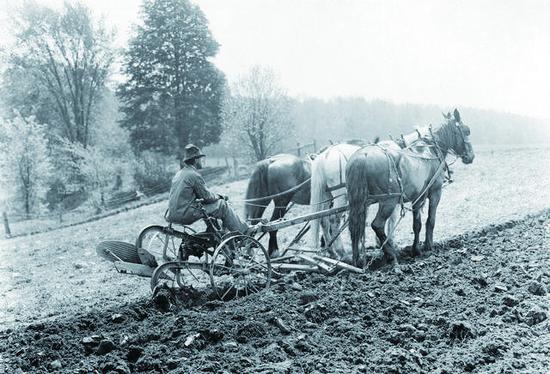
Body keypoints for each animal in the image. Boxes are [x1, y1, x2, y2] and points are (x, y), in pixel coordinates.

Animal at [350, 108, 474, 266]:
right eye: (466, 130)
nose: (471, 156)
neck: (430, 151)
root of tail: (362, 156)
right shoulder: (435, 192)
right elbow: (430, 220)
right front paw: (428, 246)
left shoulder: (418, 197)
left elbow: (417, 224)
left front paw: (416, 250)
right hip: (388, 201)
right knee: (377, 225)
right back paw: (391, 255)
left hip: (359, 203)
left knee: (355, 228)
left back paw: (357, 261)